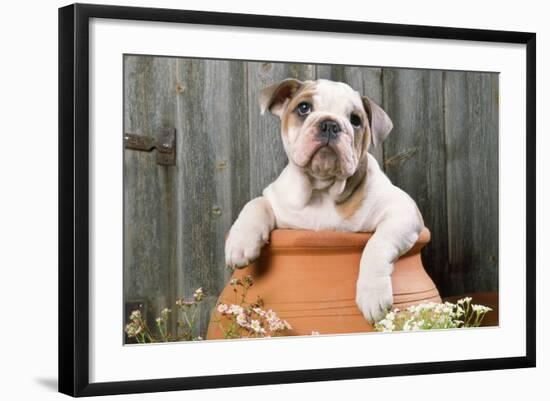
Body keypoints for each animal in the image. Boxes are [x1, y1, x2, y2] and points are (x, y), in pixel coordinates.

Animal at [224, 78, 422, 322]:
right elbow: (255, 204)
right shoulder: (276, 199)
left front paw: (372, 293)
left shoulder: (403, 211)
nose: (330, 124)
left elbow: (378, 243)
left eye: (355, 120)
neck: (322, 189)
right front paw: (240, 243)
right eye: (304, 108)